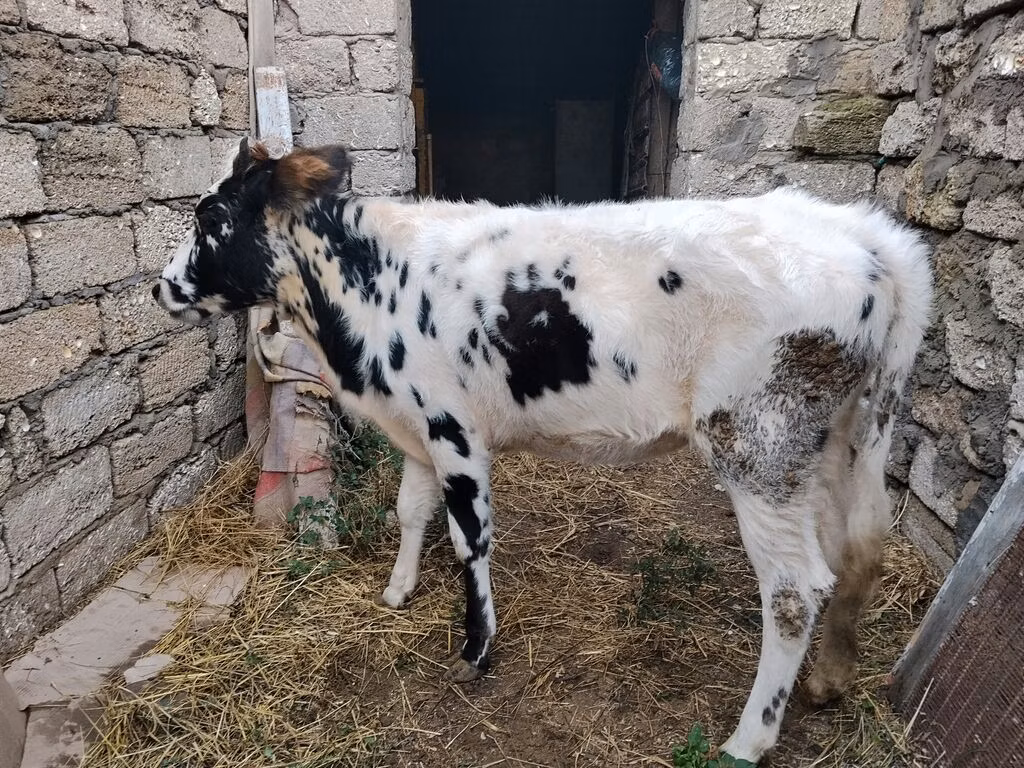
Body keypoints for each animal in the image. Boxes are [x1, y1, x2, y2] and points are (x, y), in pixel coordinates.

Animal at [153, 139, 932, 763]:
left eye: (210, 220)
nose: (162, 287)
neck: (364, 293)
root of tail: (867, 235)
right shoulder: (416, 427)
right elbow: (410, 510)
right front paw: (398, 591)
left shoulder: (454, 428)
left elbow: (469, 539)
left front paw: (476, 649)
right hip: (841, 437)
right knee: (860, 546)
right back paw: (829, 681)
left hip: (758, 442)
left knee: (797, 588)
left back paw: (749, 739)